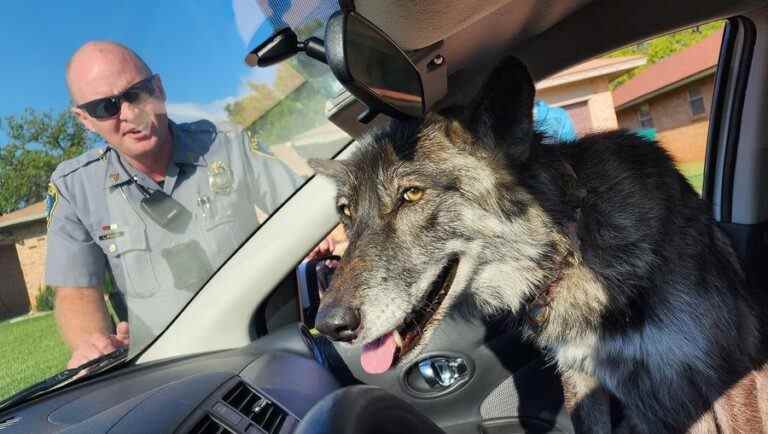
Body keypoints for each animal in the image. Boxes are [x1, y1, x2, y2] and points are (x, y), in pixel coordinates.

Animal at [308, 56, 768, 432]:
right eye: (346, 213)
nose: (328, 325)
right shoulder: (582, 381)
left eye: (412, 194)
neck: (574, 245)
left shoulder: (726, 375)